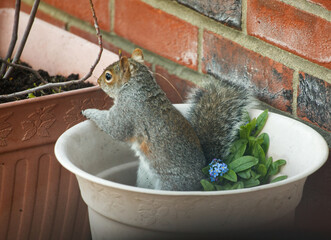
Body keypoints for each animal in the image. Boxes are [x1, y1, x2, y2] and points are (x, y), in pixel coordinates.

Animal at [81, 48, 255, 191]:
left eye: (108, 76)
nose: (98, 81)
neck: (134, 88)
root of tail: (203, 179)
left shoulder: (129, 111)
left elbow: (114, 128)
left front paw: (89, 111)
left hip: (171, 184)